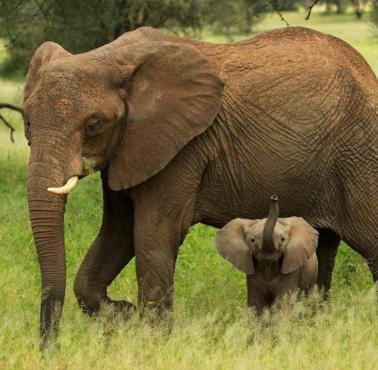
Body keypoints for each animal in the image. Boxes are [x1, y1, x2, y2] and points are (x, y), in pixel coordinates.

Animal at [24, 26, 378, 346]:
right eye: (27, 120)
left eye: (93, 124)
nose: (49, 349)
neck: (110, 57)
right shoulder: (128, 149)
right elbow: (118, 233)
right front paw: (125, 315)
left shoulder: (182, 148)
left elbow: (153, 232)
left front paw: (152, 341)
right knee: (323, 248)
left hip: (360, 154)